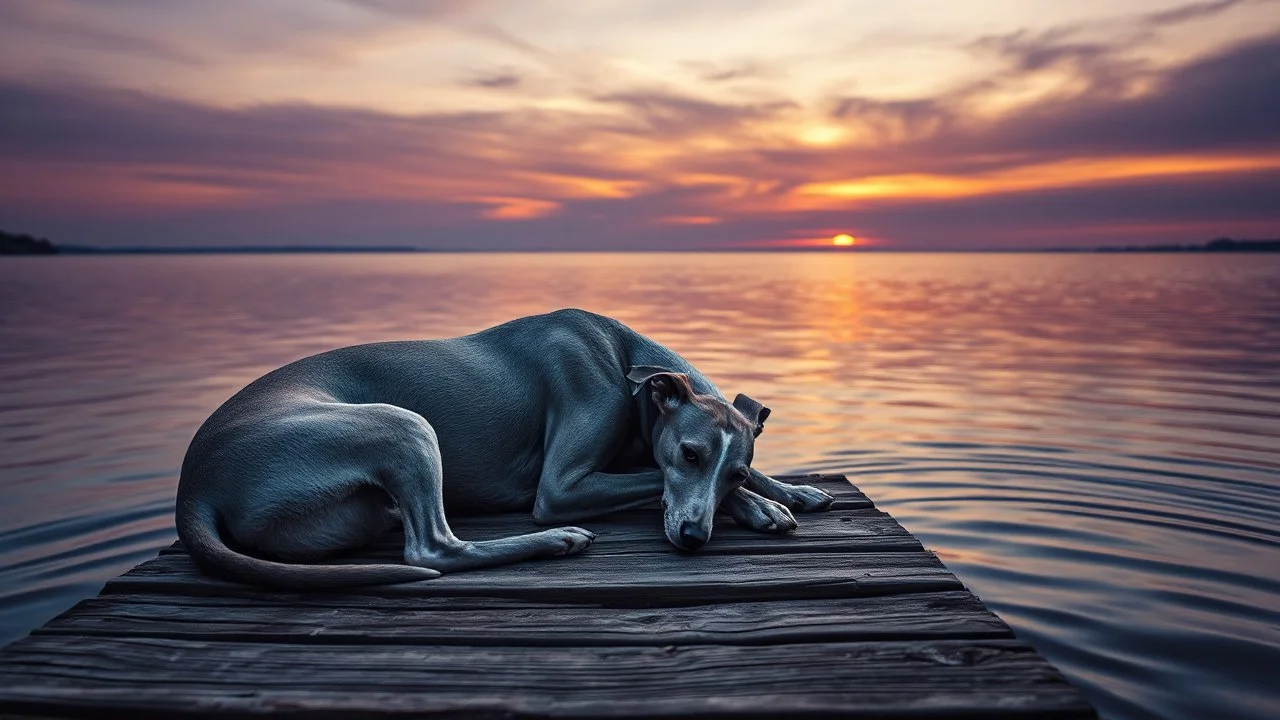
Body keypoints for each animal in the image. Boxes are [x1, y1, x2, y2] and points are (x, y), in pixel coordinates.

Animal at [177, 304, 839, 586]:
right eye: (690, 455)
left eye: (731, 471)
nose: (694, 538)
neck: (623, 360)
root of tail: (193, 489)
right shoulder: (562, 485)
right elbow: (652, 481)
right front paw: (763, 506)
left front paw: (787, 492)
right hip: (404, 425)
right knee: (434, 549)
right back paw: (555, 541)